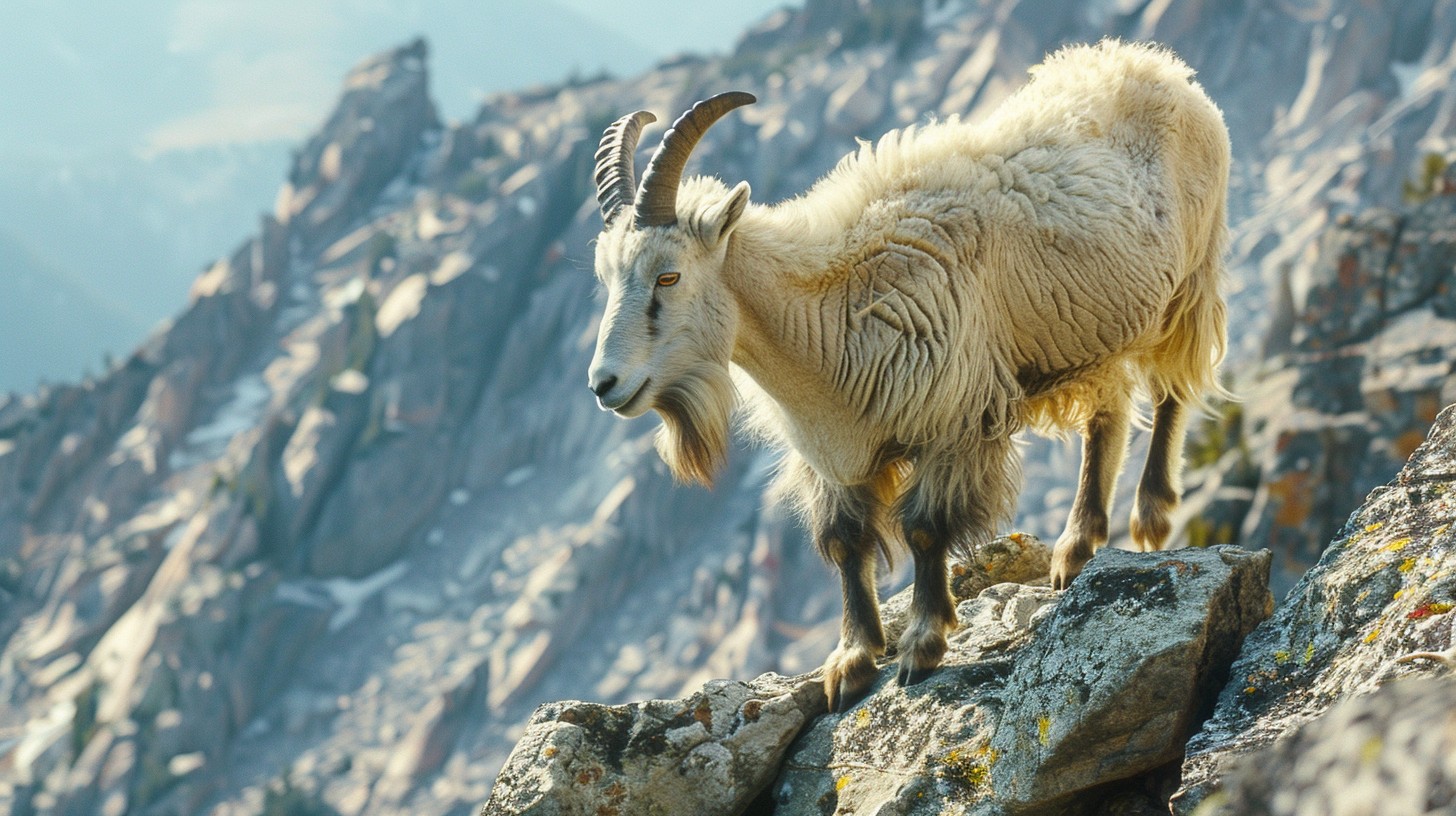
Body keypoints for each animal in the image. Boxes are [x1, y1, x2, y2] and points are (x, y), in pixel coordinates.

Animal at [586, 40, 1230, 711]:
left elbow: (923, 530)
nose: (604, 385)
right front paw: (851, 661)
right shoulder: (834, 455)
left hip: (1190, 280)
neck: (831, 307)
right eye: (606, 277)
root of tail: (1154, 65)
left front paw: (921, 645)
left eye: (668, 276)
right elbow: (846, 541)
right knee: (1109, 414)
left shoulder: (952, 420)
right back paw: (1075, 550)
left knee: (1171, 392)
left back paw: (1151, 516)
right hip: (1095, 327)